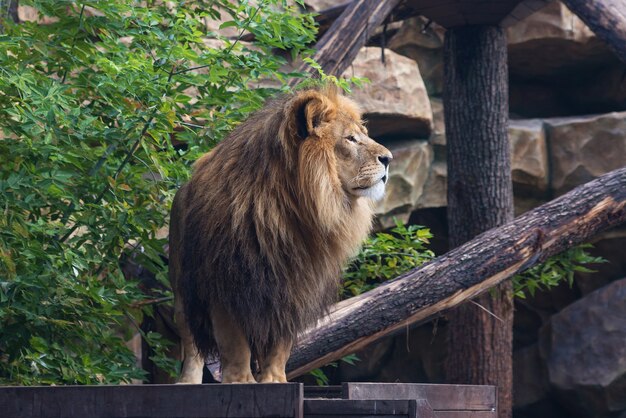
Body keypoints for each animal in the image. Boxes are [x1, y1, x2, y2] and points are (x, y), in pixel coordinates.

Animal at [166, 86, 390, 384]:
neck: (294, 215)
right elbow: (234, 342)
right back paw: (188, 381)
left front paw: (274, 380)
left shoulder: (294, 287)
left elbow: (280, 344)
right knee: (191, 342)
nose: (389, 159)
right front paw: (240, 381)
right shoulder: (226, 283)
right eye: (351, 139)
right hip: (182, 291)